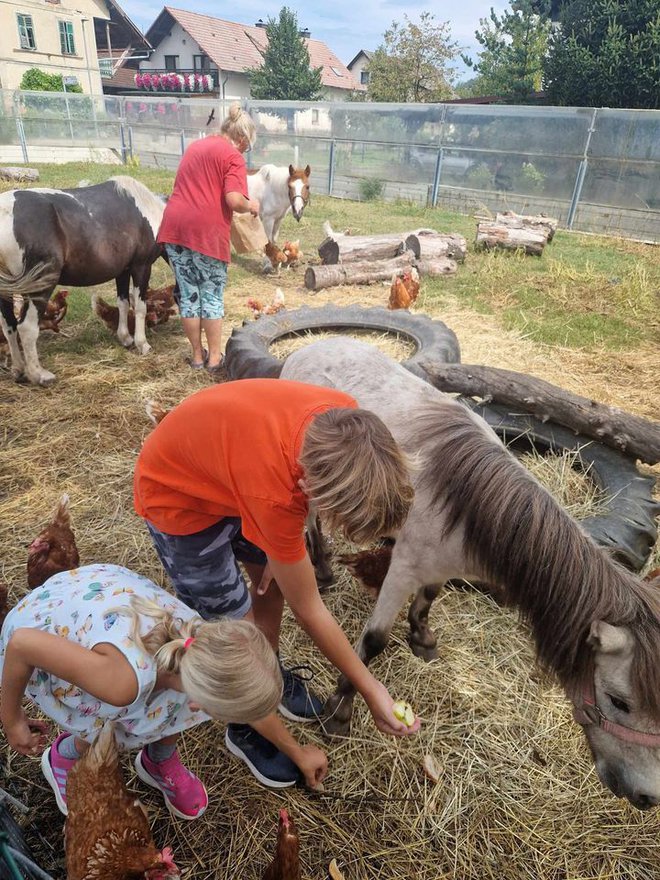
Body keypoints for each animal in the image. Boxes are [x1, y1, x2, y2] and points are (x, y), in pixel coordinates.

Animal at [284, 336, 660, 812]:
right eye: (618, 701)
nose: (647, 796)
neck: (466, 506)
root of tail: (307, 349)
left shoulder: (439, 568)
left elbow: (428, 600)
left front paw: (422, 639)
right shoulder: (402, 569)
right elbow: (372, 643)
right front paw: (340, 711)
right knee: (312, 519)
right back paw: (321, 568)